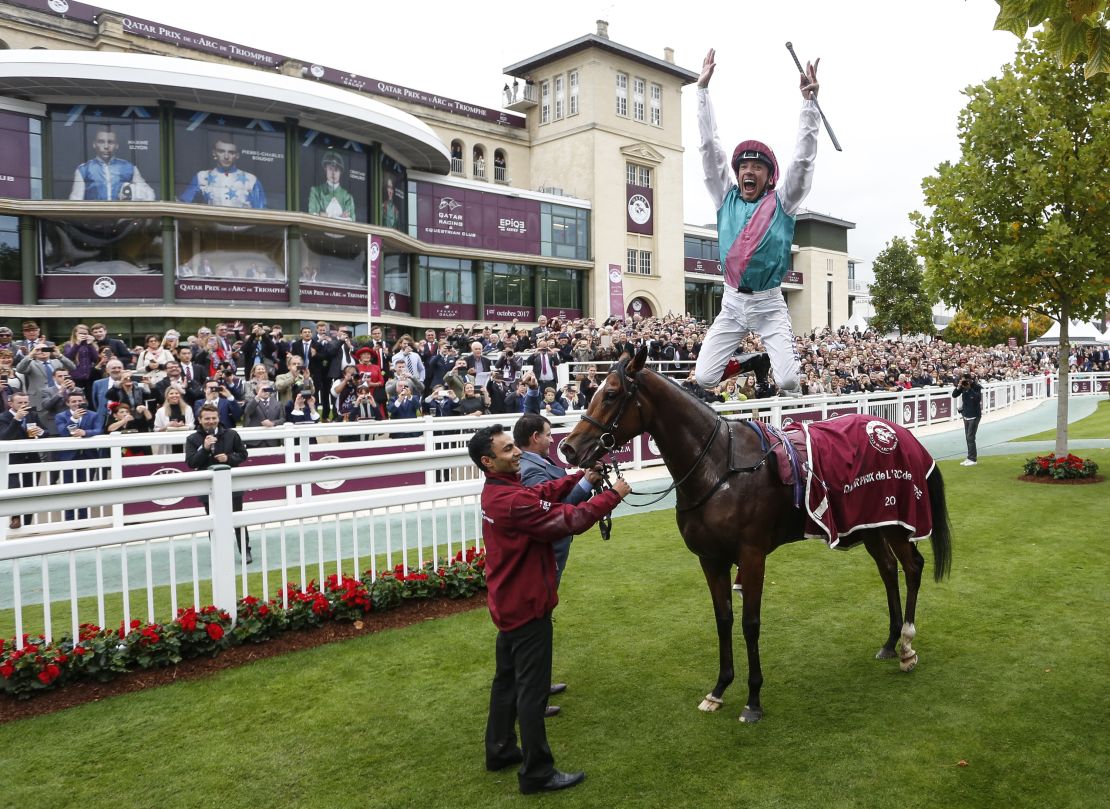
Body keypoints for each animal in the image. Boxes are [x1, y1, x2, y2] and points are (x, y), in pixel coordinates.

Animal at [563, 344, 954, 723]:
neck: (718, 467)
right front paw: (719, 689)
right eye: (592, 391)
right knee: (888, 570)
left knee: (913, 567)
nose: (569, 447)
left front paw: (753, 700)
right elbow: (723, 619)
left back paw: (906, 646)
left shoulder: (752, 555)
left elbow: (750, 623)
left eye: (611, 394)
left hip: (896, 519)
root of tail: (897, 432)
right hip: (870, 522)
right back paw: (890, 642)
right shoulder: (711, 559)